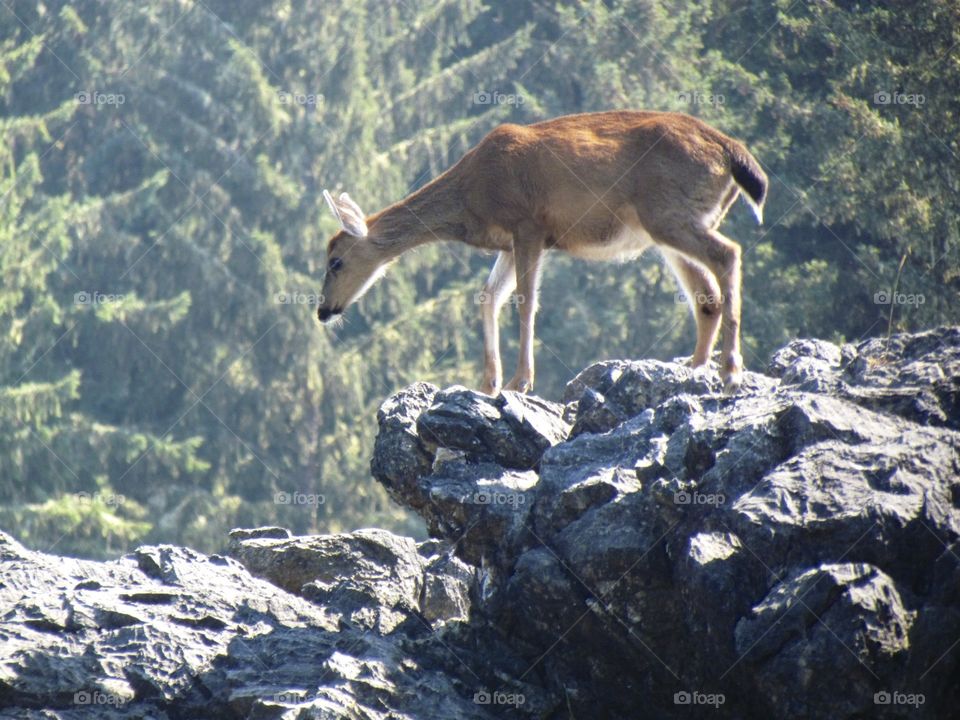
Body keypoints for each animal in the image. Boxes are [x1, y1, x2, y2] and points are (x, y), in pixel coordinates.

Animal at [317, 110, 767, 395]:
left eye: (335, 261)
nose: (323, 310)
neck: (470, 199)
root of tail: (732, 152)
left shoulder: (529, 224)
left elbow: (524, 300)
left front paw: (520, 382)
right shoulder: (509, 240)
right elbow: (487, 296)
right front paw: (488, 384)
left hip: (668, 213)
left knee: (728, 254)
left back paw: (730, 369)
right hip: (668, 224)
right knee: (705, 294)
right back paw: (693, 365)